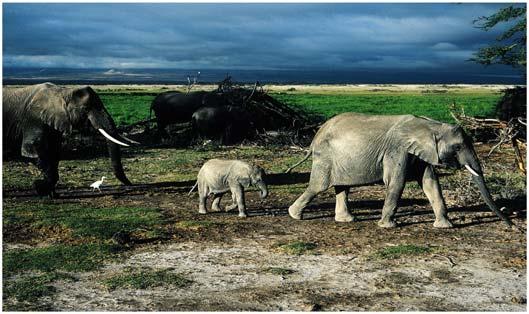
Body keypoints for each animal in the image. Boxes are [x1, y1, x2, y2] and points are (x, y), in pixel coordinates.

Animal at [3, 82, 137, 197]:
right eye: (86, 109)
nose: (131, 185)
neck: (64, 91)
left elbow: (54, 153)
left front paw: (51, 194)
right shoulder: (34, 120)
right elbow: (33, 151)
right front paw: (38, 186)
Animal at [284, 111, 516, 229]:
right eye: (457, 147)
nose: (511, 225)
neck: (431, 126)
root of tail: (316, 134)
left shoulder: (422, 153)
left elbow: (431, 183)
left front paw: (445, 226)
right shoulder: (397, 150)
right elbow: (396, 182)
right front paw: (387, 226)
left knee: (342, 187)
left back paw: (346, 220)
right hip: (325, 156)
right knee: (319, 186)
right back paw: (294, 216)